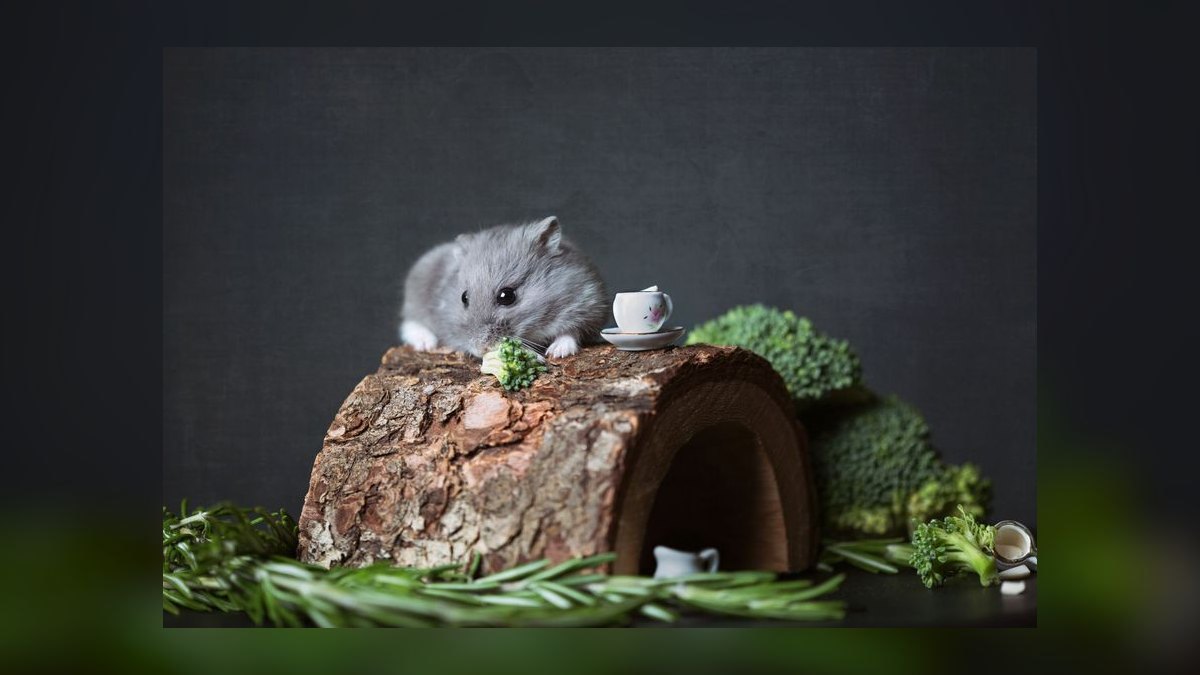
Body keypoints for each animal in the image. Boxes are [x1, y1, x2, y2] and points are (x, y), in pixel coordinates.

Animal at [399, 216, 608, 359]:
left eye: (507, 296)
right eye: (463, 298)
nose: (480, 350)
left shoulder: (588, 304)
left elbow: (571, 332)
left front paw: (556, 353)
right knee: (410, 322)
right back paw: (426, 343)